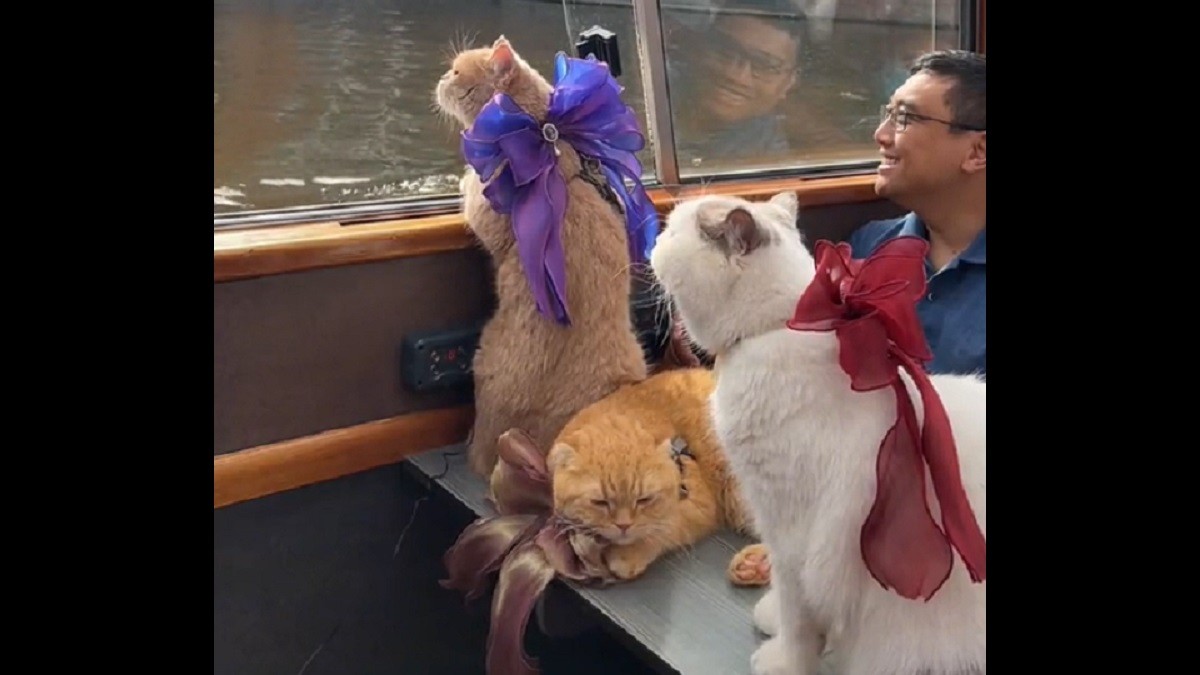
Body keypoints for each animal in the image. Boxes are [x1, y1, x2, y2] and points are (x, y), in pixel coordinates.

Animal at [648, 190, 984, 672]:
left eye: (674, 231)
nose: (654, 240)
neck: (775, 330)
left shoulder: (788, 534)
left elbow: (797, 616)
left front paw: (783, 658)